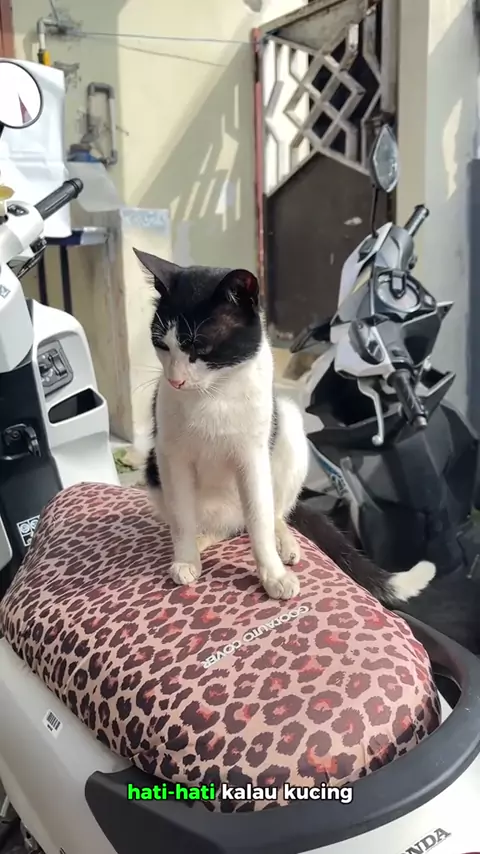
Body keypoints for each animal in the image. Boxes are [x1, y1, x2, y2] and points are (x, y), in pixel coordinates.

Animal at [135, 248, 436, 604]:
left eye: (201, 348)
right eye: (161, 345)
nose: (175, 381)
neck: (214, 393)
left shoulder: (252, 456)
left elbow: (261, 521)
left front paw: (273, 575)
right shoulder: (171, 454)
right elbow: (182, 516)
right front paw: (185, 559)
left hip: (288, 427)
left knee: (272, 513)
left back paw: (284, 543)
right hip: (155, 471)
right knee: (215, 524)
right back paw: (202, 540)